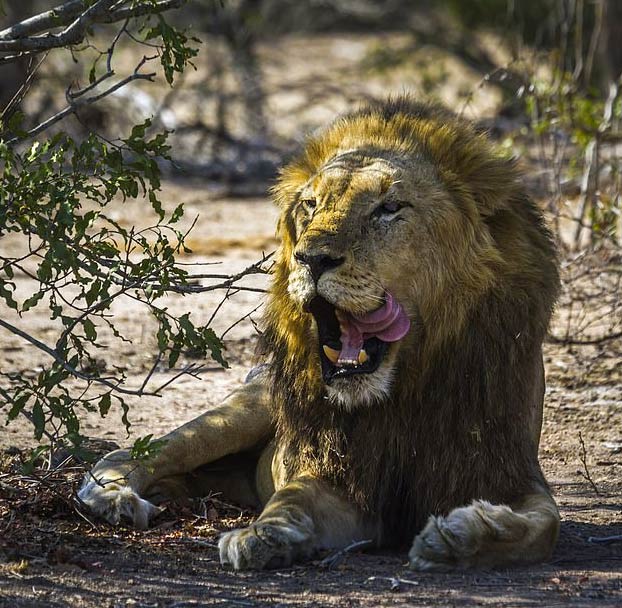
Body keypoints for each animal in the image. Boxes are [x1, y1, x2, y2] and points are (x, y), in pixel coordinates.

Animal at [80, 97, 564, 572]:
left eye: (389, 208)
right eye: (310, 205)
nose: (310, 258)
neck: (406, 389)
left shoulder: (506, 468)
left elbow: (546, 524)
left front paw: (459, 536)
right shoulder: (342, 475)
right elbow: (294, 496)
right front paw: (263, 535)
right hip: (246, 409)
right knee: (136, 453)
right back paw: (116, 498)